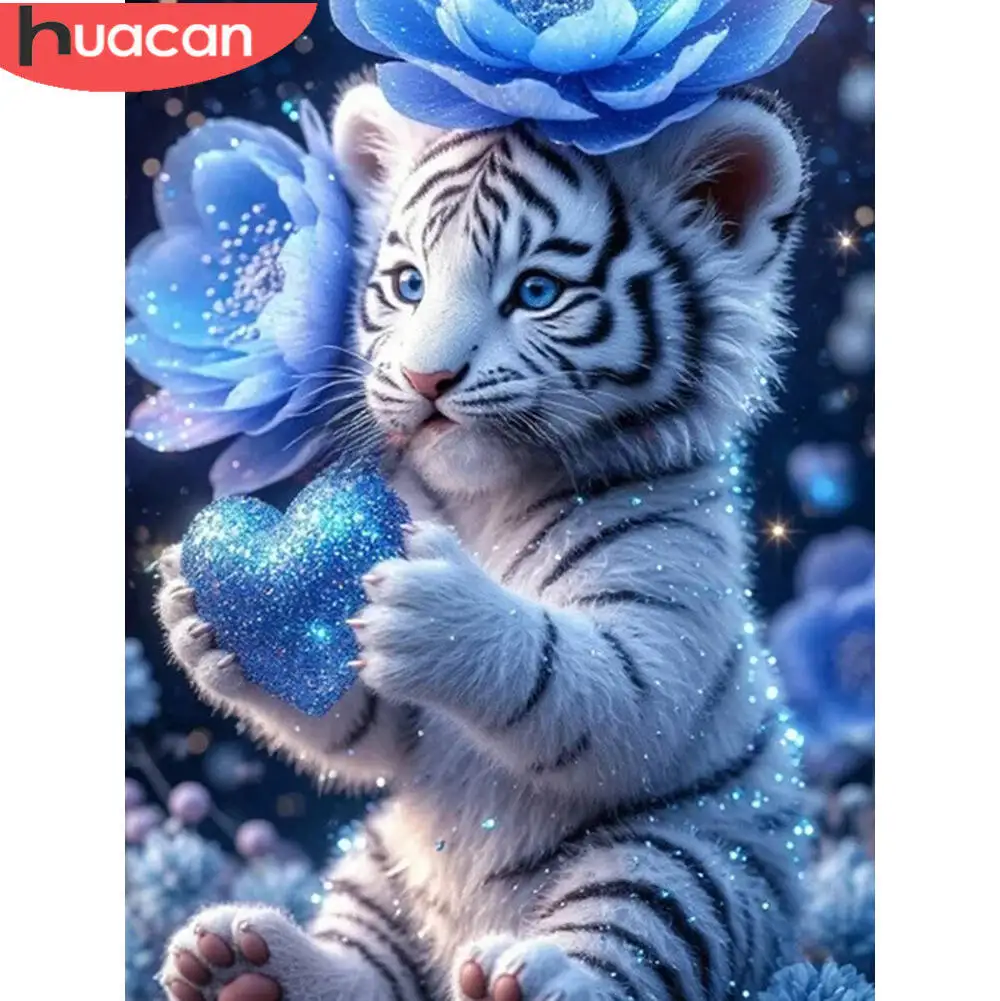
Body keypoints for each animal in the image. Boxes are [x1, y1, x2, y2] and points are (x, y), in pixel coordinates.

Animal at [156, 78, 813, 1001]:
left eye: (536, 292)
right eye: (407, 284)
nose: (426, 377)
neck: (487, 499)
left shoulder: (668, 592)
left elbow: (603, 688)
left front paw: (440, 614)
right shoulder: (391, 732)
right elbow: (366, 724)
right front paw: (201, 619)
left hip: (691, 858)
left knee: (631, 930)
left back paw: (529, 973)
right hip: (379, 862)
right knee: (369, 966)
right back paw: (244, 965)